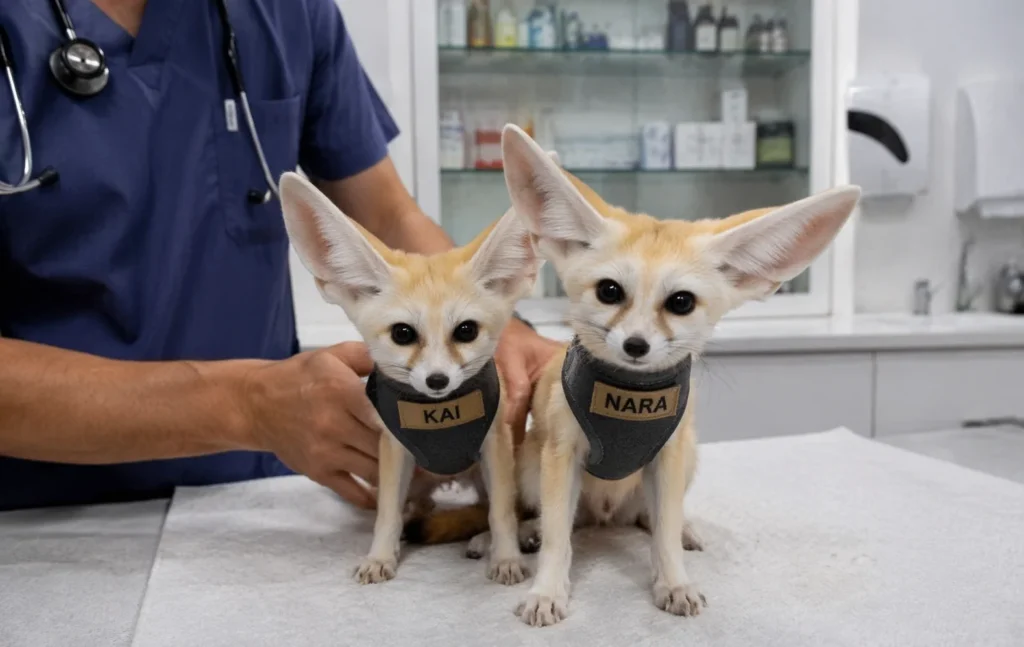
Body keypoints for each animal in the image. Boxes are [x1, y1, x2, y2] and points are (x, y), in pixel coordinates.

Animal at [278, 171, 542, 586]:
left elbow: (502, 513)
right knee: (418, 507)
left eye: (466, 331)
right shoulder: (394, 451)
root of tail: (445, 478)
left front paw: (506, 558)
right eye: (403, 334)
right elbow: (386, 513)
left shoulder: (494, 446)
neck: (441, 416)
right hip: (415, 478)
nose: (437, 380)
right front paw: (380, 556)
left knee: (494, 509)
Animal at [495, 124, 862, 627]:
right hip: (532, 463)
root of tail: (605, 515)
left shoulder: (667, 457)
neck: (627, 397)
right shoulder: (562, 456)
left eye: (681, 302)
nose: (636, 345)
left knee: (651, 520)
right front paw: (547, 590)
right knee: (558, 521)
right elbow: (557, 539)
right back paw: (516, 534)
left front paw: (673, 583)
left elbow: (664, 537)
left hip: (687, 459)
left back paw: (679, 528)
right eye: (610, 291)